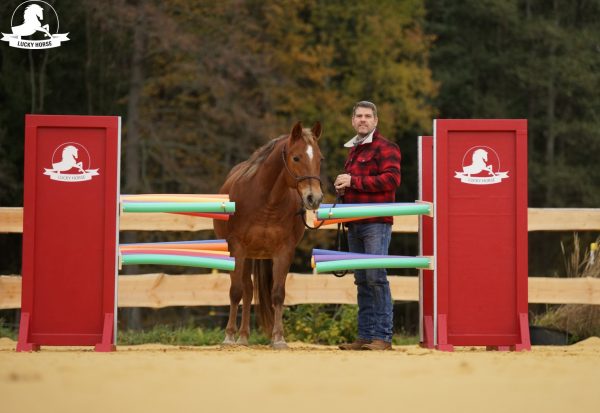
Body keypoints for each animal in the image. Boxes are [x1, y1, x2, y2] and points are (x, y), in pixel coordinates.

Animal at [212, 120, 324, 348]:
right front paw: (228, 337)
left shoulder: (284, 251)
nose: (314, 198)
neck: (266, 201)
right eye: (296, 157)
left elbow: (278, 294)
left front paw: (279, 338)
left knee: (249, 291)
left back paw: (244, 336)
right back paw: (240, 337)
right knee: (245, 290)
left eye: (320, 158)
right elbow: (235, 291)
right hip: (244, 255)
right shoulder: (237, 248)